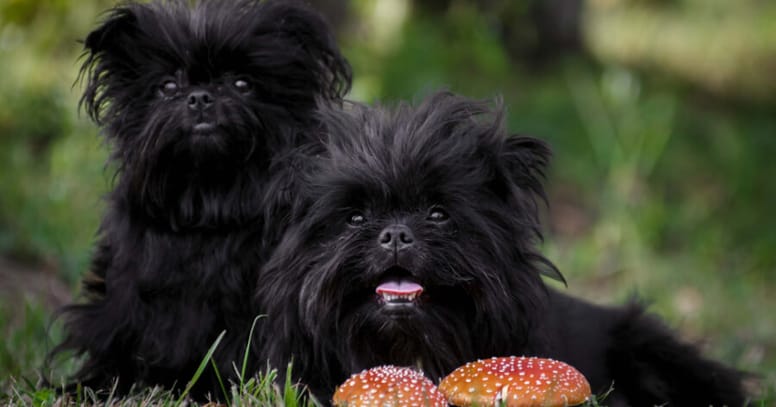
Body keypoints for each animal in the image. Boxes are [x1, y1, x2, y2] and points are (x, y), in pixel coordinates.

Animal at [53, 0, 352, 398]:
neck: (208, 202)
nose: (199, 97)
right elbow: (116, 334)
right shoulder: (125, 295)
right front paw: (91, 386)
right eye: (167, 86)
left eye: (242, 84)